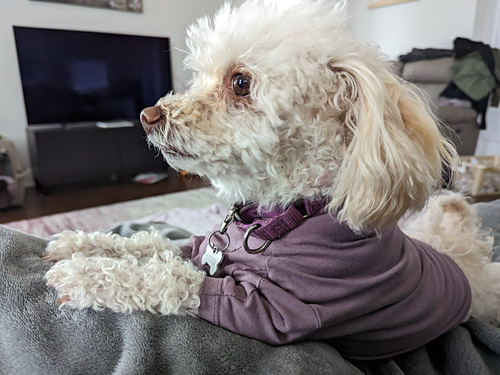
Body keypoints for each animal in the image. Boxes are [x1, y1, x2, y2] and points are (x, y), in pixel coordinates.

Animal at [44, 0, 500, 362]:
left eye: (240, 82)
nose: (147, 115)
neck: (282, 214)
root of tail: (467, 260)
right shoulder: (202, 246)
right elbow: (153, 242)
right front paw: (79, 244)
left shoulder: (271, 311)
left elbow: (171, 279)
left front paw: (83, 274)